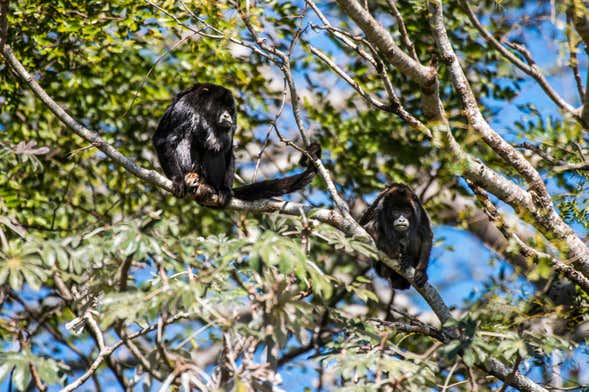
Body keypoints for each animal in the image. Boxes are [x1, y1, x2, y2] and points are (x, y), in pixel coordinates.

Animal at [149, 81, 320, 207]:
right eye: (222, 107)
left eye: (230, 109)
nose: (227, 116)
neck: (204, 111)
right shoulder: (183, 107)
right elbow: (163, 139)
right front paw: (177, 180)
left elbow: (228, 150)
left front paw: (226, 190)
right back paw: (190, 177)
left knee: (216, 149)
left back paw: (210, 187)